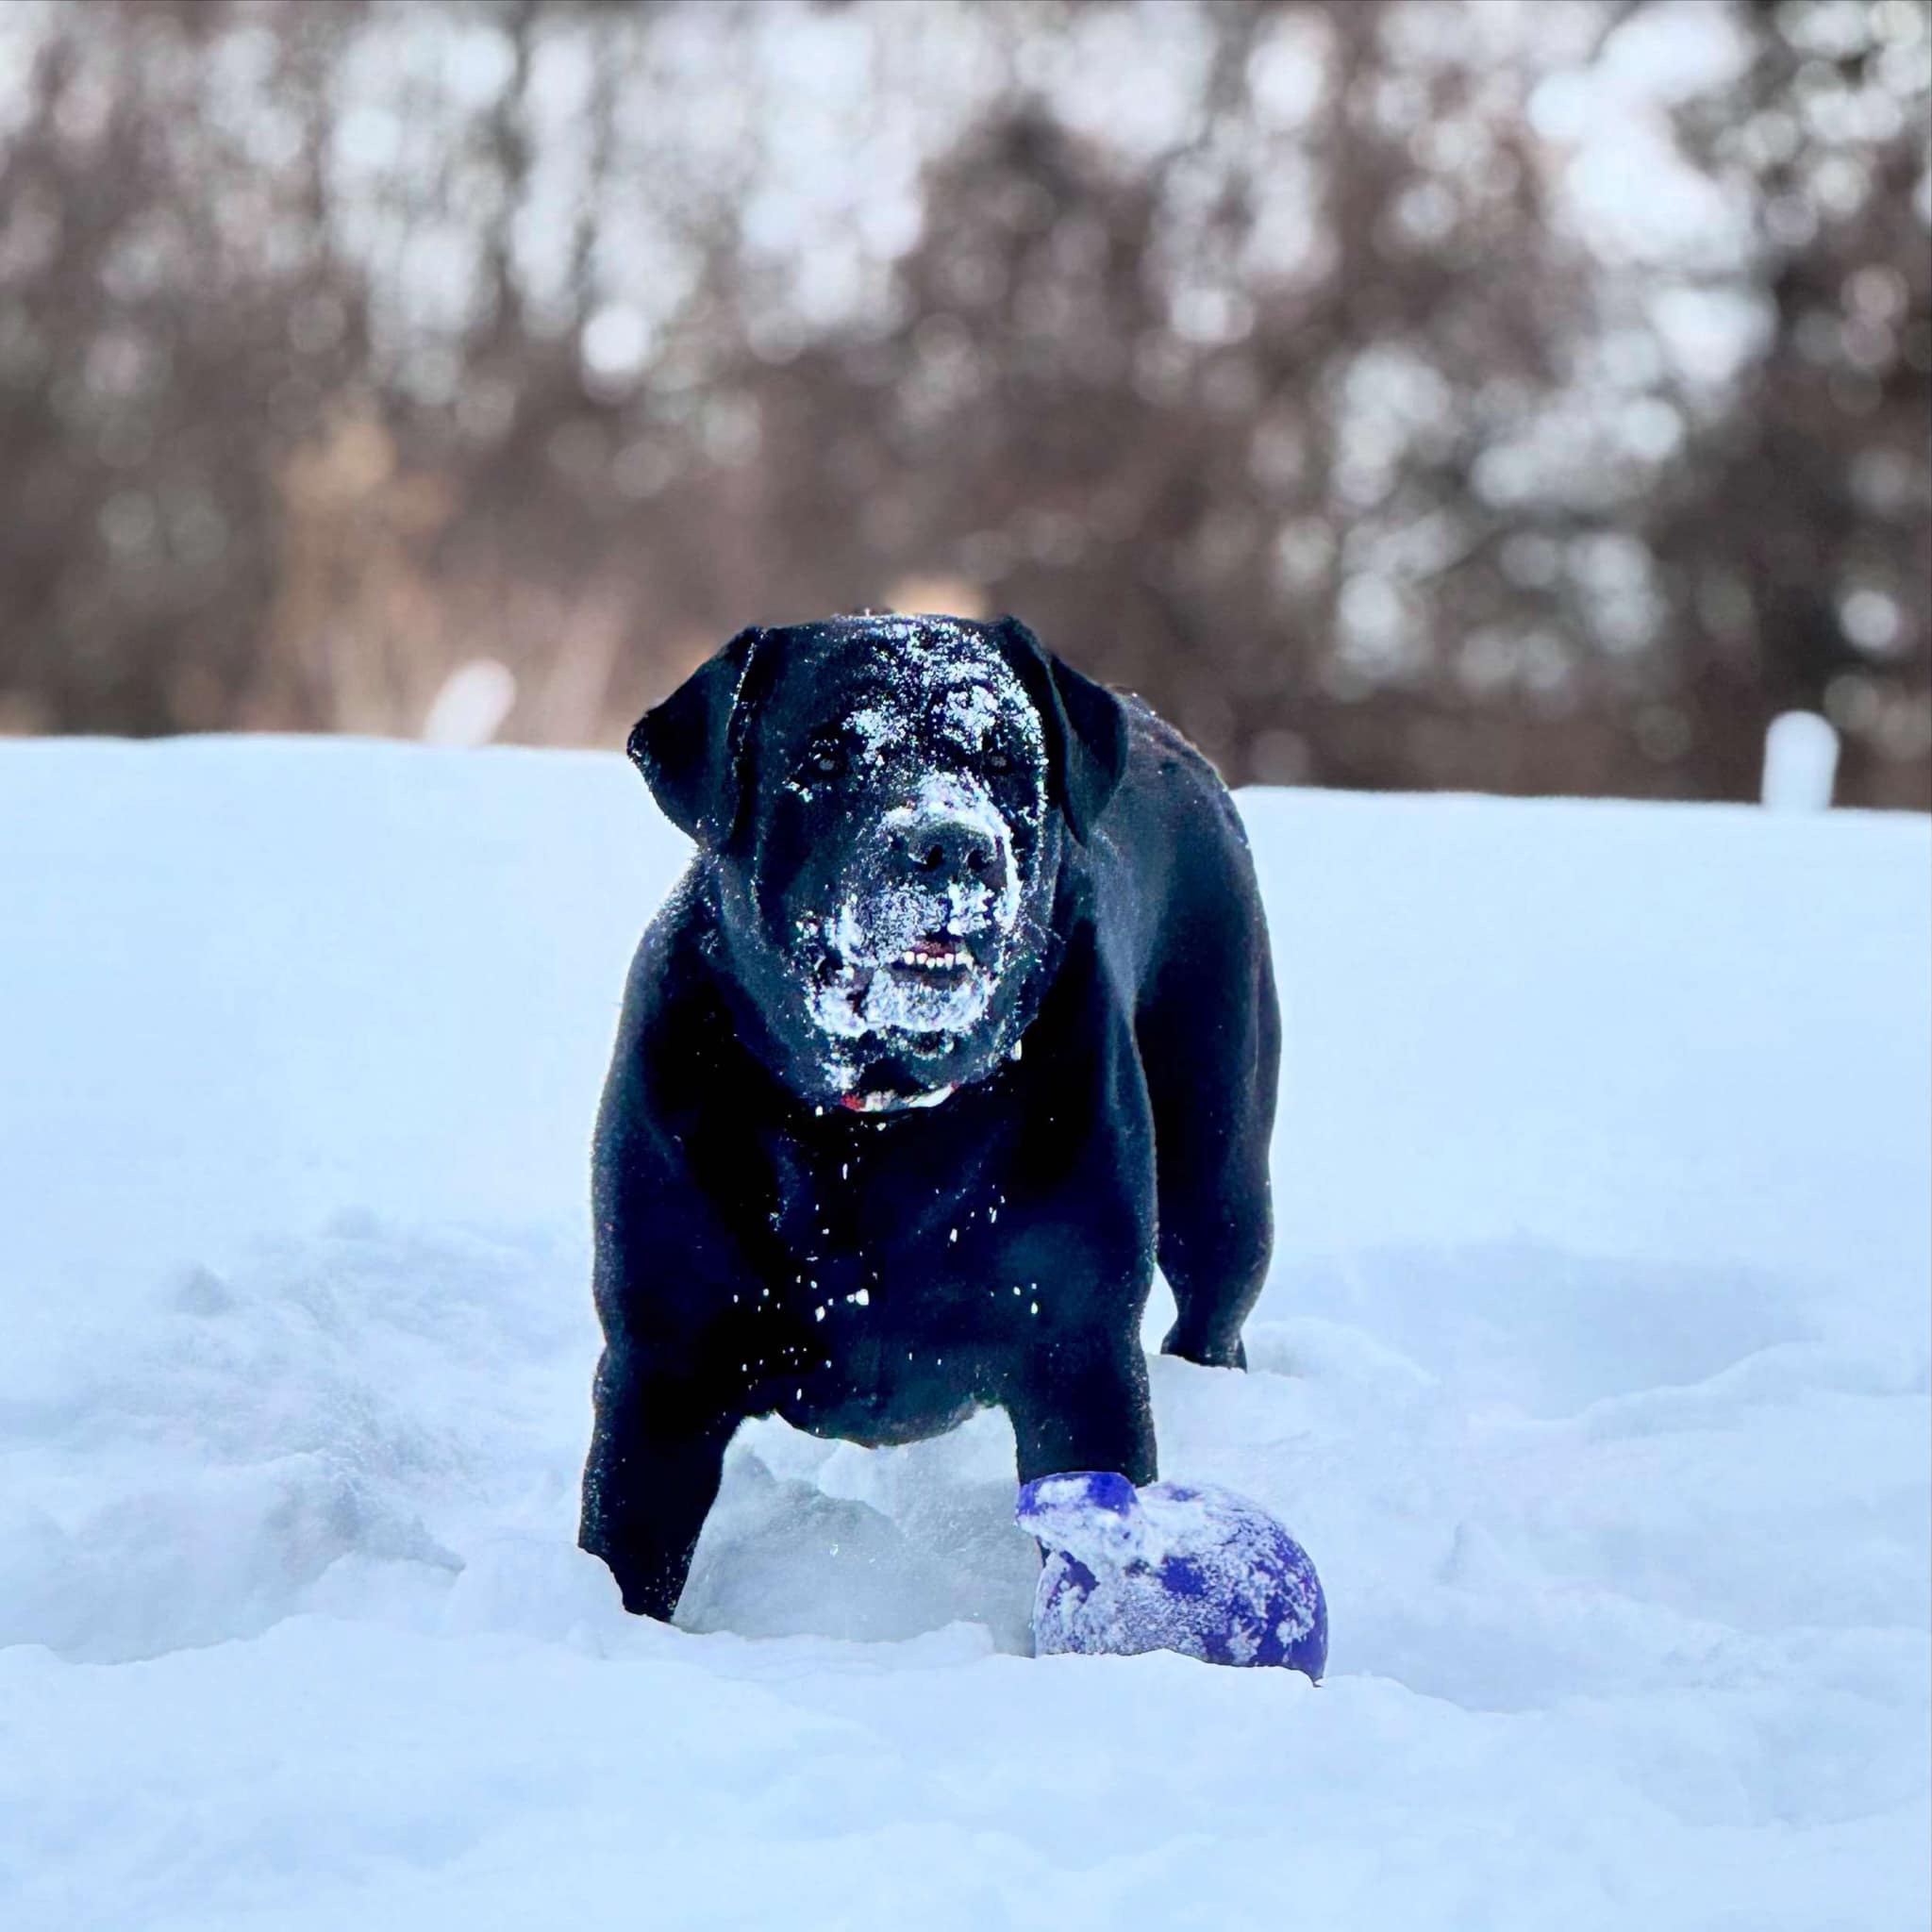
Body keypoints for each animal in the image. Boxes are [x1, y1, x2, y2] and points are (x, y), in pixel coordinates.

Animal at [580, 613, 1279, 1620]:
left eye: (1003, 757)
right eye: (827, 756)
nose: (951, 842)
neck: (874, 1133)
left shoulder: (1080, 1353)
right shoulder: (660, 1366)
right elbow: (626, 1554)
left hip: (1218, 1177)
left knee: (1215, 1304)